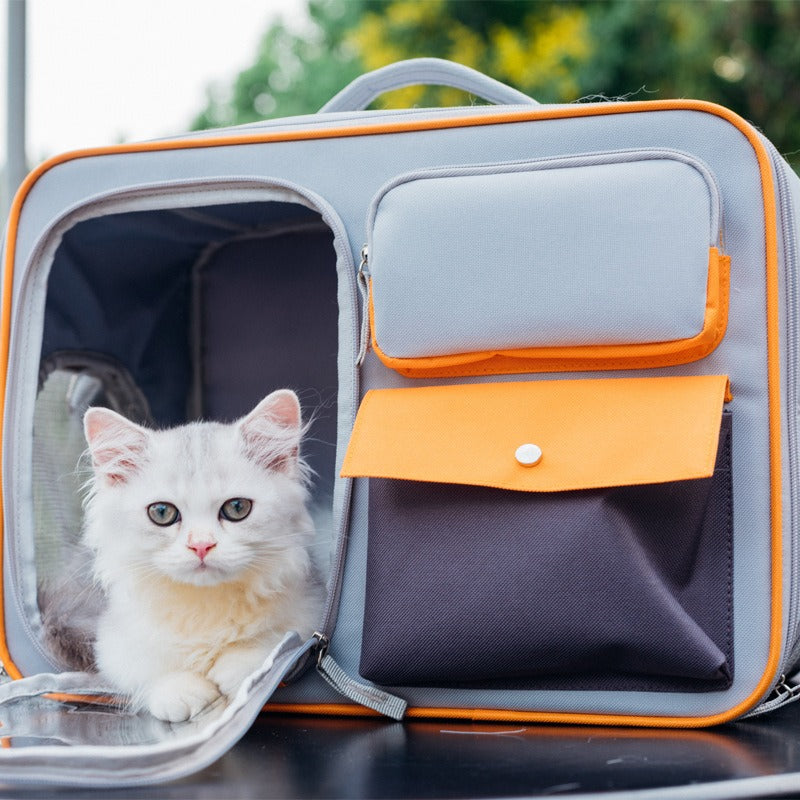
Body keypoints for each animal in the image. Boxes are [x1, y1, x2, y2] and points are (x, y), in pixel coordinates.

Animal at [83, 390, 324, 720]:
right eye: (162, 513)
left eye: (237, 508)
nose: (200, 546)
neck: (205, 604)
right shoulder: (112, 639)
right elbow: (142, 666)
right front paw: (180, 689)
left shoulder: (311, 607)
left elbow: (278, 639)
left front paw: (238, 667)